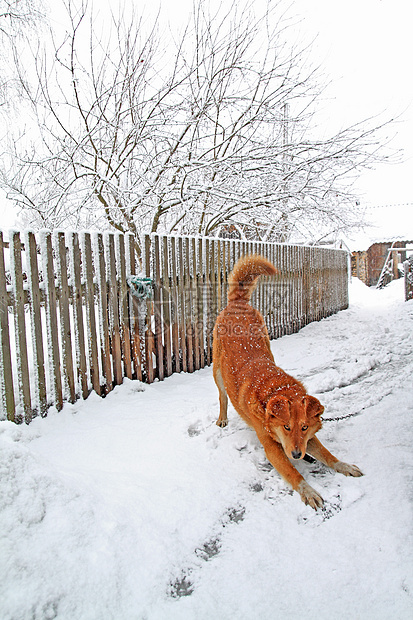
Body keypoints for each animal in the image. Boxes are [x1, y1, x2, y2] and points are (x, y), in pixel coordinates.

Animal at [212, 254, 360, 512]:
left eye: (304, 427)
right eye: (286, 427)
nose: (298, 454)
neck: (273, 389)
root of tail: (237, 304)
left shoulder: (306, 440)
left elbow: (328, 455)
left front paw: (344, 466)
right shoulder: (273, 448)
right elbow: (293, 473)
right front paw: (308, 491)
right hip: (217, 371)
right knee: (222, 396)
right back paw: (223, 418)